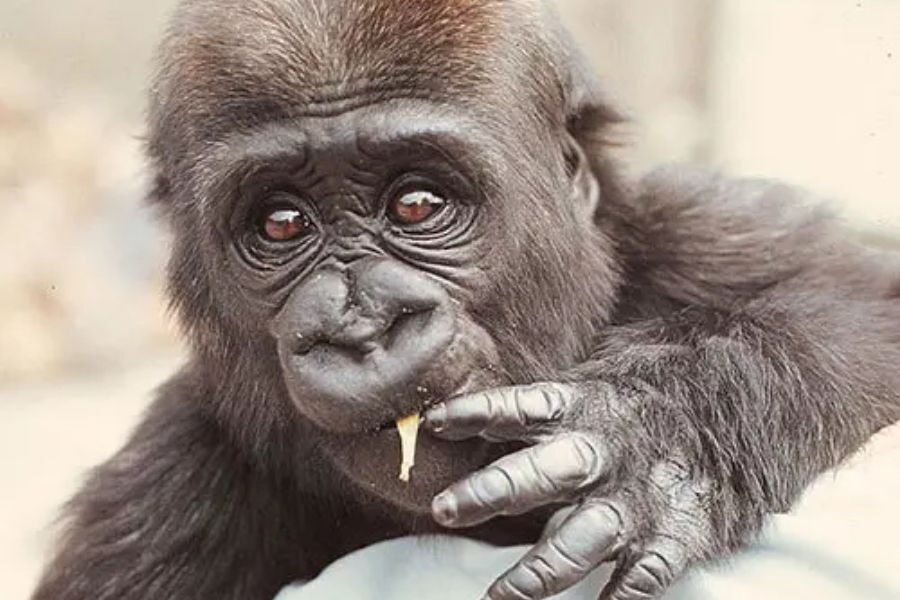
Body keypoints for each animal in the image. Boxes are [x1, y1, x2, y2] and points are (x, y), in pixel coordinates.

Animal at [32, 1, 900, 599]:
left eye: (417, 204)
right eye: (282, 222)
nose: (364, 328)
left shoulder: (697, 234)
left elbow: (857, 300)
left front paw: (657, 430)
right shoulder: (144, 519)